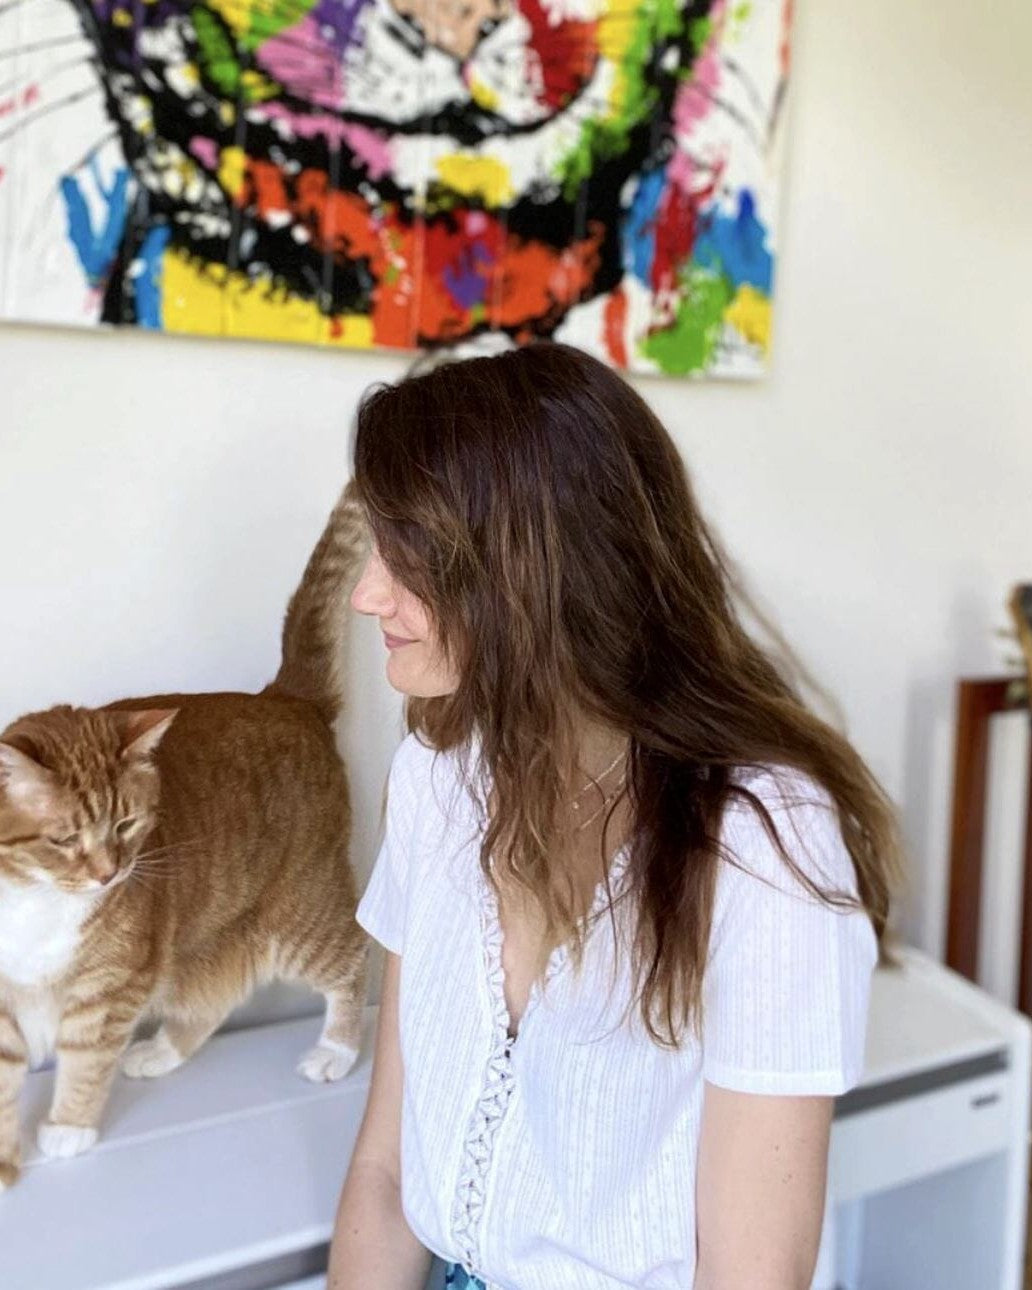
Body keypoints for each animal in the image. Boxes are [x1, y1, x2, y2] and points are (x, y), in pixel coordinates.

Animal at [0, 479, 368, 1181]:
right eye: (64, 839)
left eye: (126, 823)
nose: (109, 874)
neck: (30, 897)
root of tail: (285, 697)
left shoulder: (110, 984)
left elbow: (85, 1056)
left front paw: (67, 1129)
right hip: (206, 944)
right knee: (212, 996)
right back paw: (159, 1051)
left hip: (300, 917)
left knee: (357, 961)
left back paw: (336, 1049)